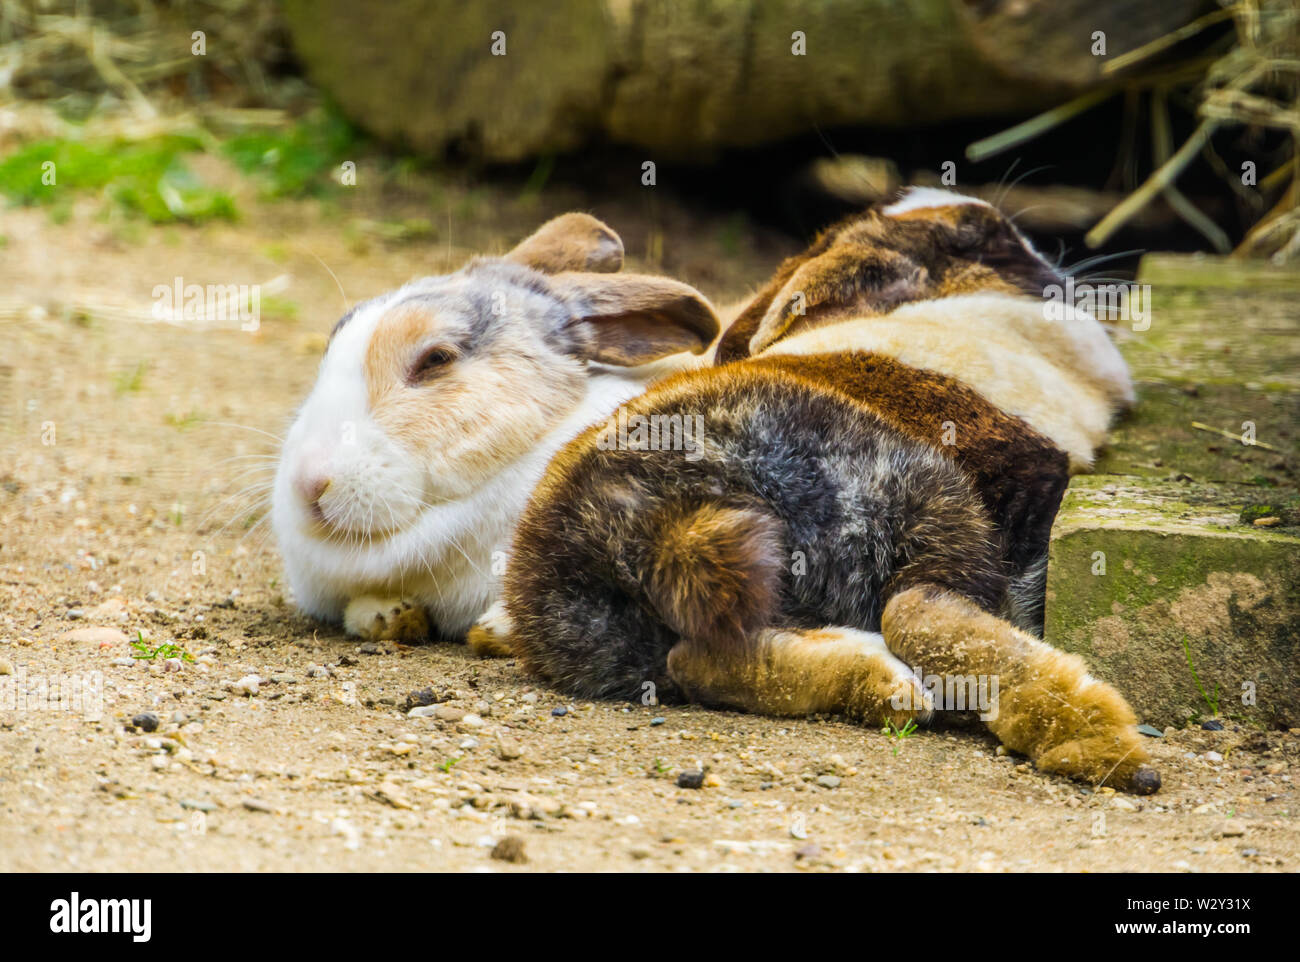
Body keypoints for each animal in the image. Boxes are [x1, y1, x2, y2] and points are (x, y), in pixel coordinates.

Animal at [485, 188, 1160, 793]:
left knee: (700, 660)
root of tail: (649, 527)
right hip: (923, 494)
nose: (1062, 273)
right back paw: (1099, 744)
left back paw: (890, 690)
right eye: (982, 239)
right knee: (919, 607)